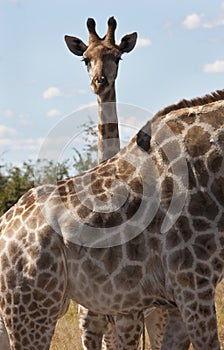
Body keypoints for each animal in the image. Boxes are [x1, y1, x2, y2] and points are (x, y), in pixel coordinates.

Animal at [65, 17, 168, 350]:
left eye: (118, 56)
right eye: (85, 58)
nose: (100, 82)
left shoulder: (128, 318)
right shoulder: (90, 322)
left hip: (156, 314)